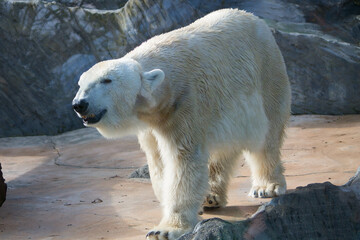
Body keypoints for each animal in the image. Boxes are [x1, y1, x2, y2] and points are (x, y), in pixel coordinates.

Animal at [71, 8, 292, 239]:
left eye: (107, 80)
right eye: (80, 84)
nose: (80, 104)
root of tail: (256, 20)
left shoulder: (185, 103)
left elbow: (183, 160)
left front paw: (165, 230)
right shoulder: (152, 122)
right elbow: (159, 162)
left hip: (267, 73)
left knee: (267, 135)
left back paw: (266, 186)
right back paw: (210, 196)